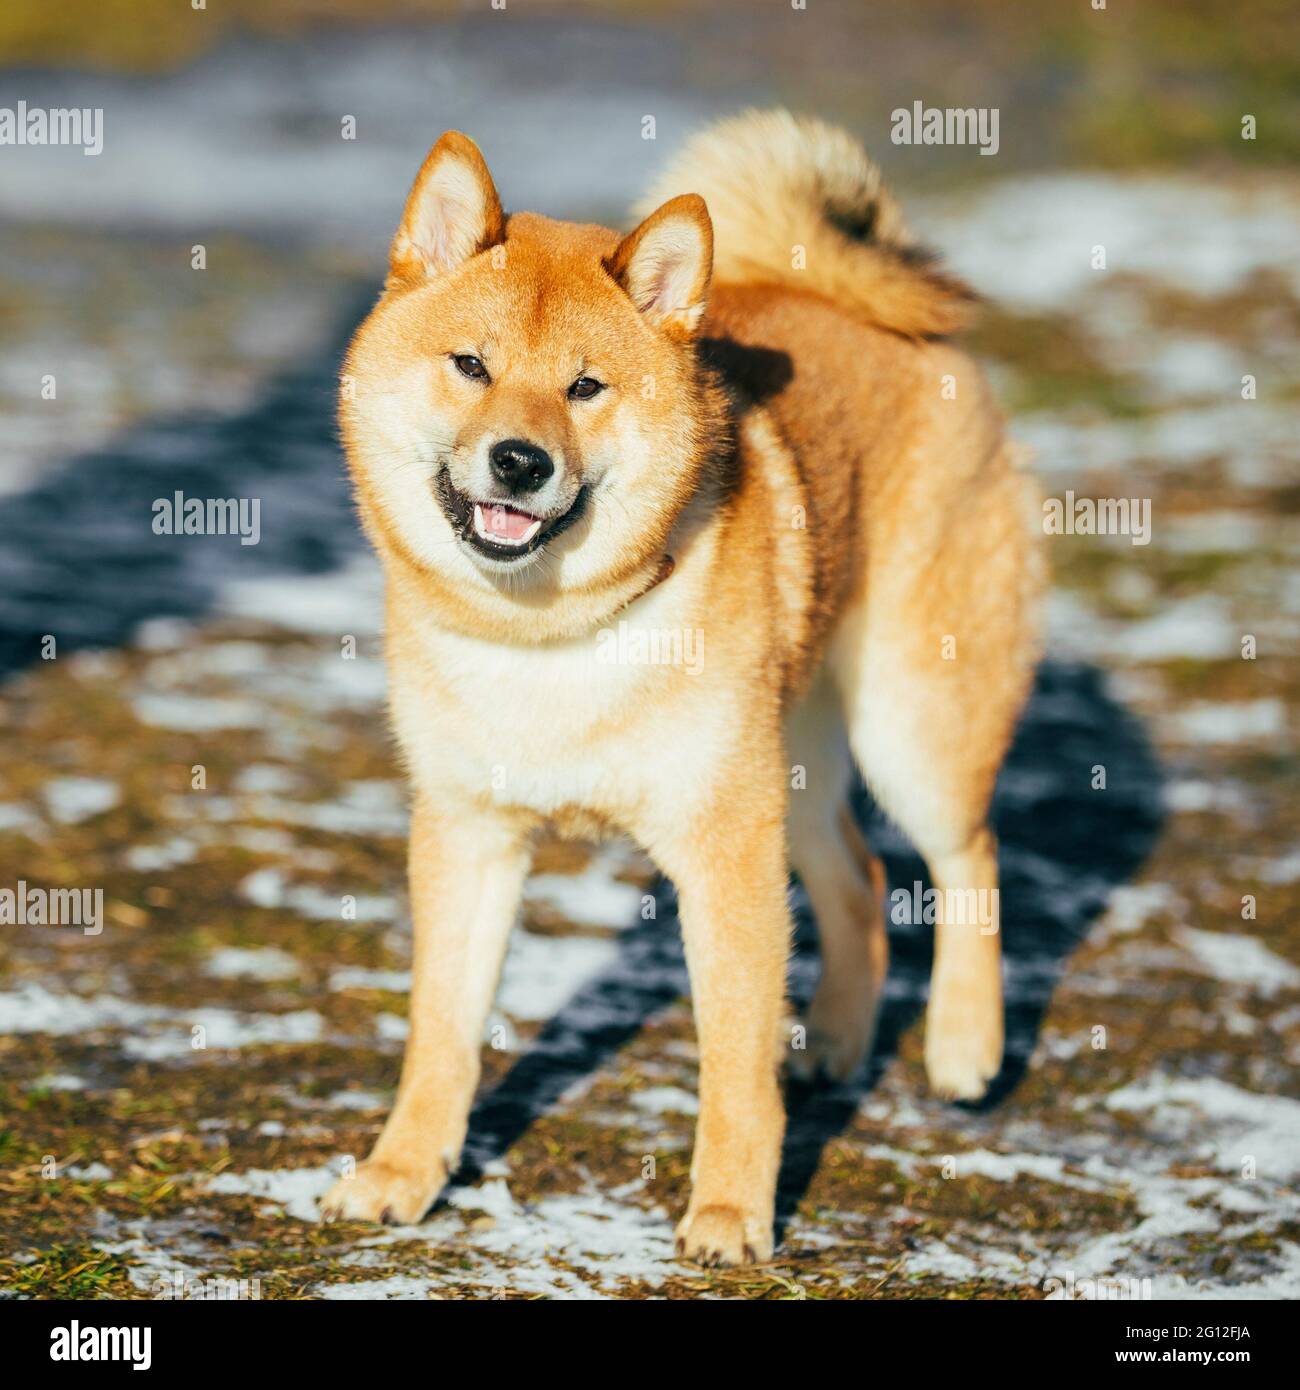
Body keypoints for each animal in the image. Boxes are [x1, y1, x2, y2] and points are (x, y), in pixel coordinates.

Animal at [319, 105, 1040, 1262]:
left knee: (963, 853)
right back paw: (837, 1041)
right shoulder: (469, 831)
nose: (519, 461)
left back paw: (964, 1046)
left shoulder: (722, 847)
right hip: (795, 762)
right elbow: (442, 1030)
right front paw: (402, 1171)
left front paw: (732, 1213)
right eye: (470, 365)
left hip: (908, 726)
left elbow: (733, 1062)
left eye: (584, 386)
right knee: (860, 878)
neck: (546, 634)